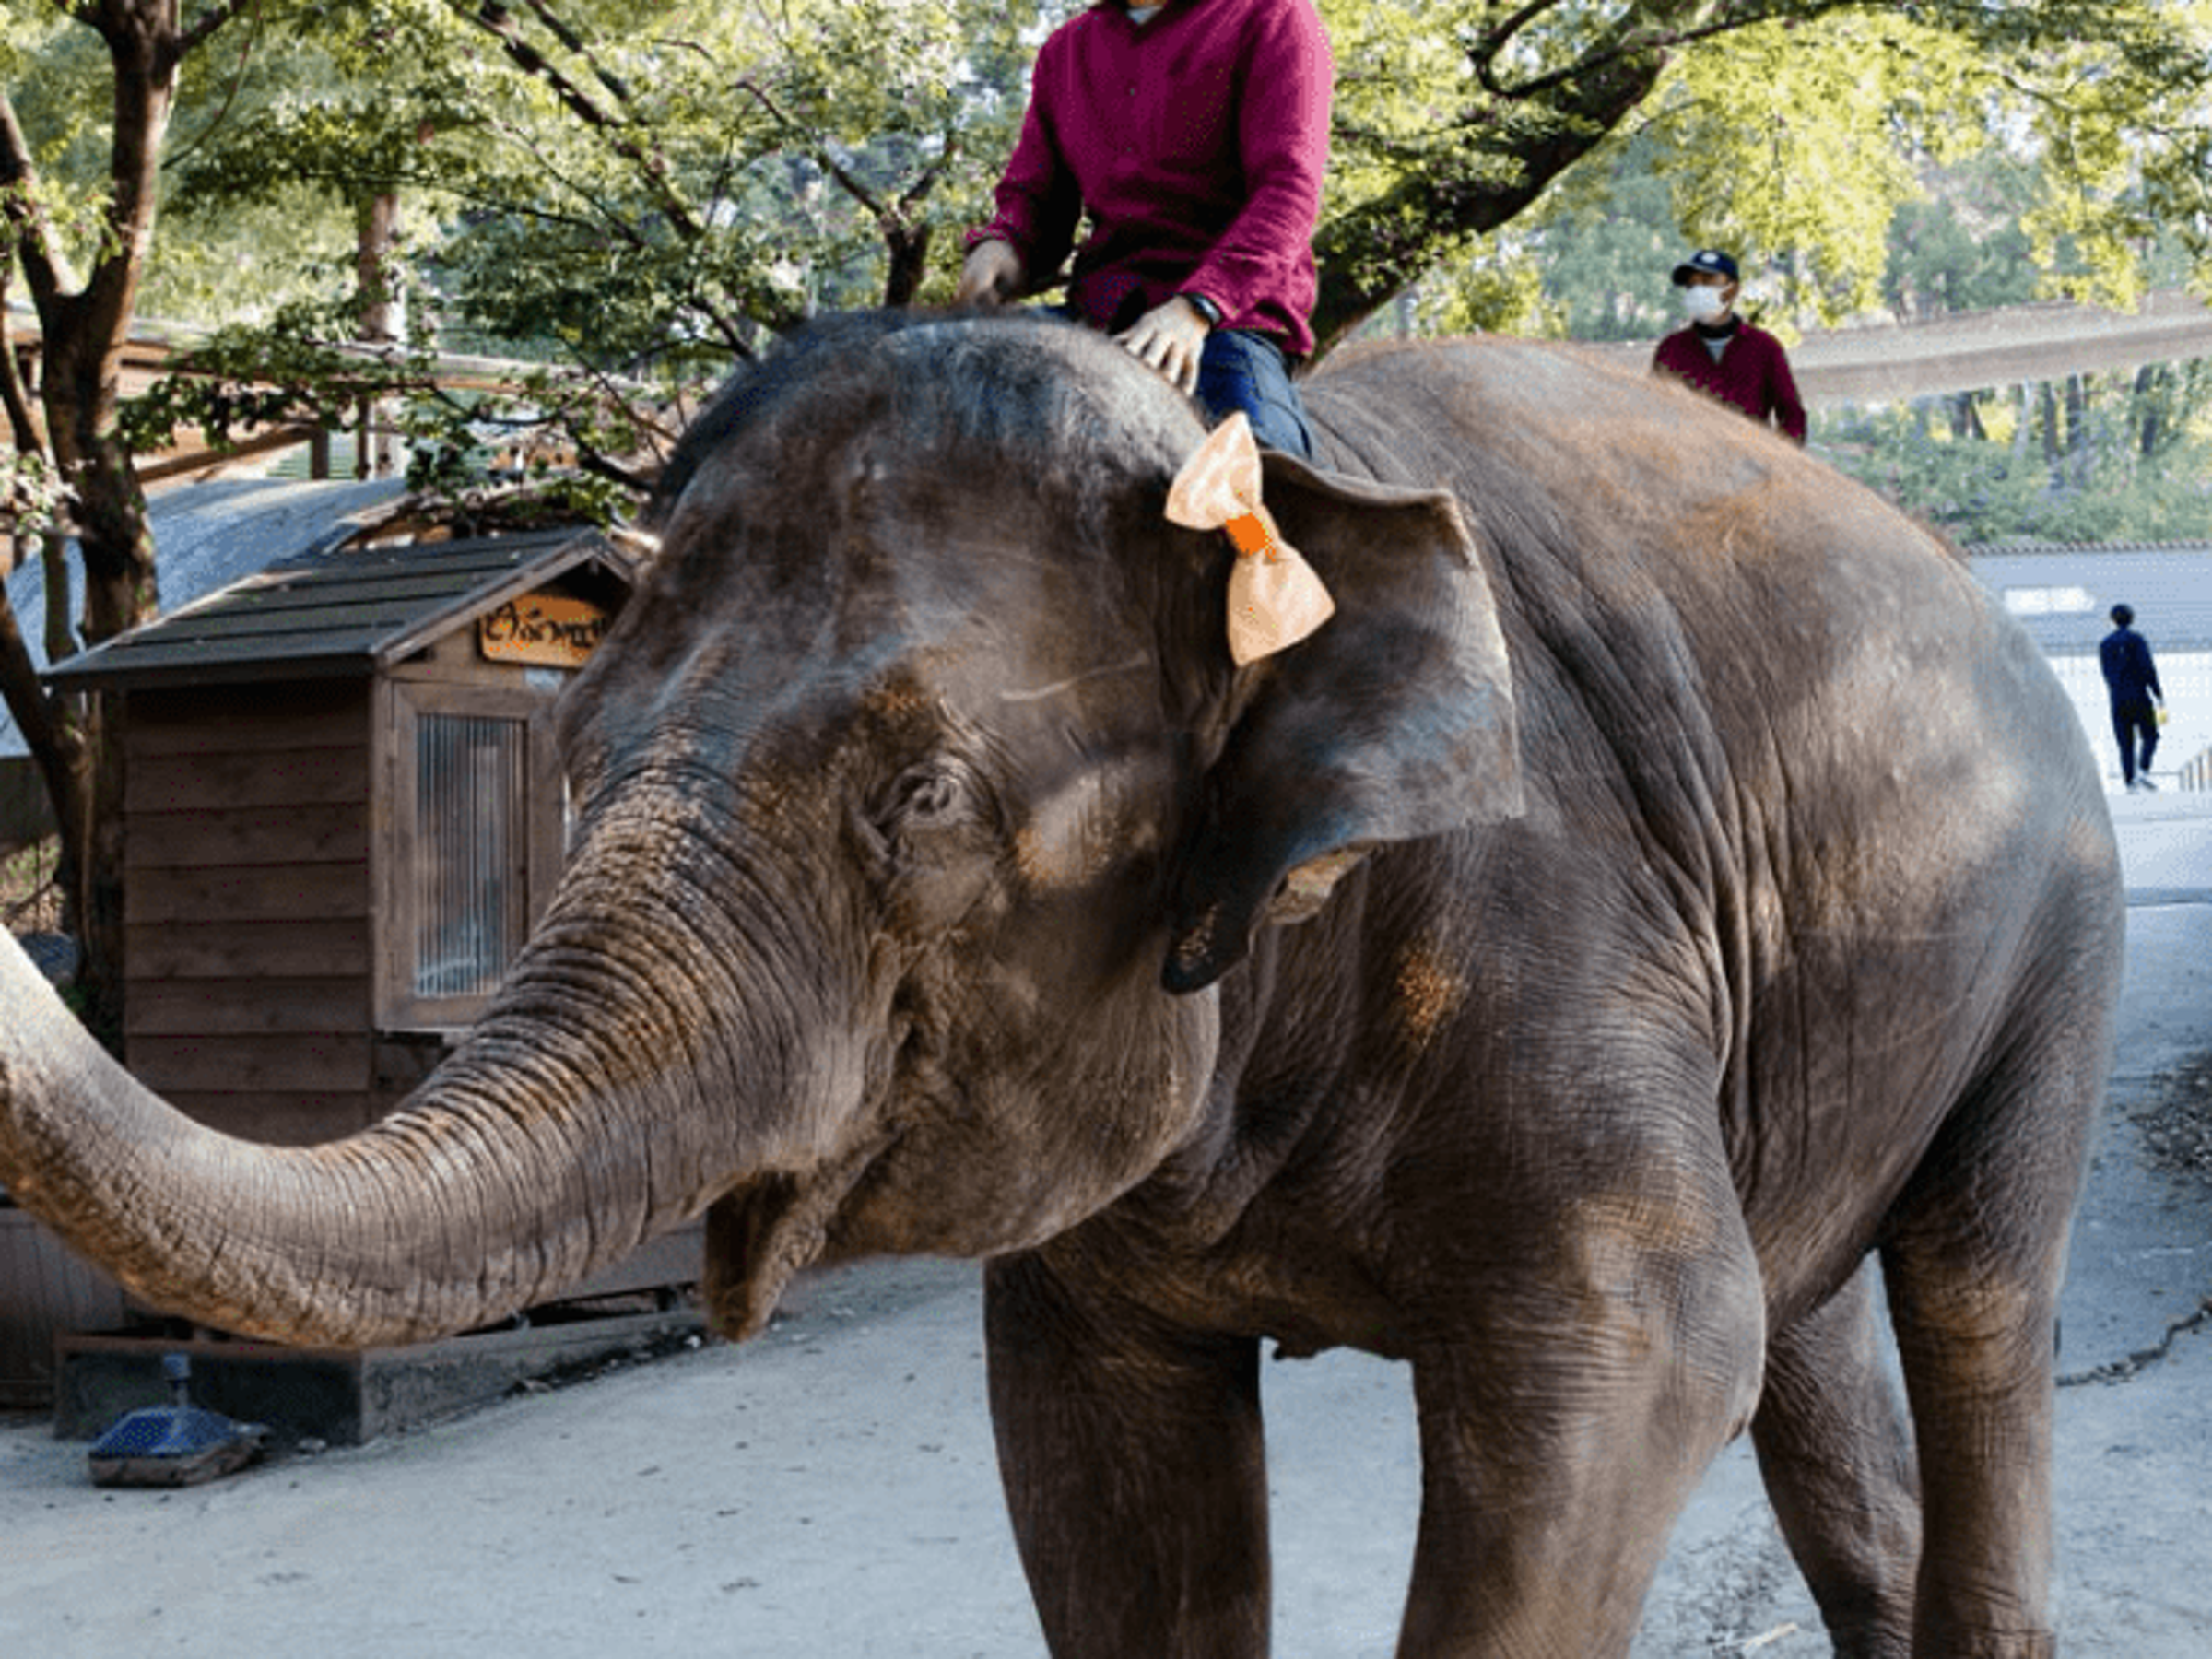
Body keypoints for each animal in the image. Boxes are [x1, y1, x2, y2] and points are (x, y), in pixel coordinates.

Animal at [0, 311, 2121, 1658]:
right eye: (576, 753)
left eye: (923, 798)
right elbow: (1103, 1473)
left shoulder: (1562, 924)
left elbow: (1645, 1357)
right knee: (1812, 1342)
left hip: (2061, 934)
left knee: (1969, 1301)